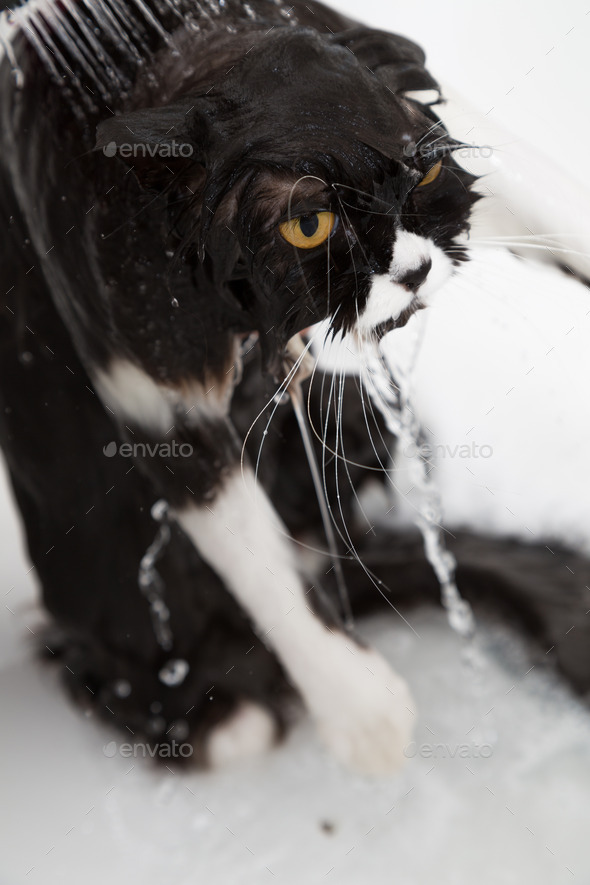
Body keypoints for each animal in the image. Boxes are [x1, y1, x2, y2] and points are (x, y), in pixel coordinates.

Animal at [0, 0, 588, 772]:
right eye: (310, 225)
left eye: (426, 173)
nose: (414, 271)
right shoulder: (150, 386)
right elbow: (249, 546)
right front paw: (363, 710)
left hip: (358, 419)